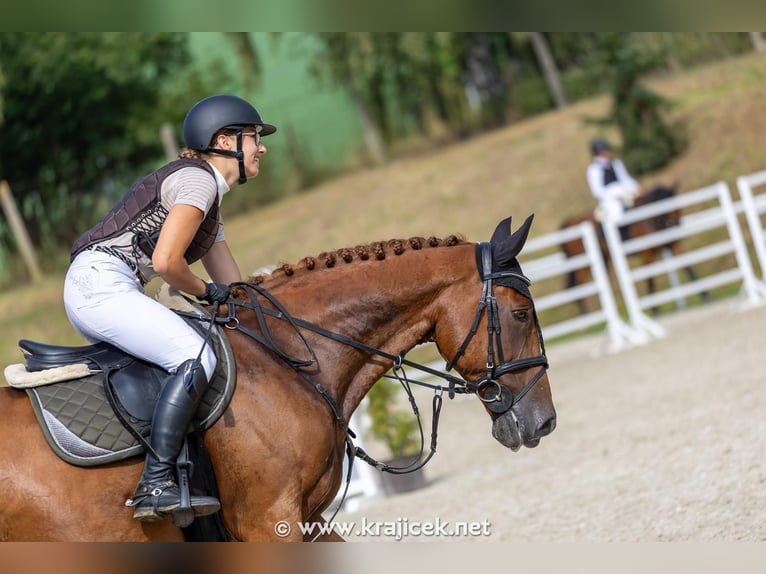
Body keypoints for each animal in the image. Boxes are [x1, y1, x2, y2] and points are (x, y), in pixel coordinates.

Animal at [559, 184, 705, 315]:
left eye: (675, 202)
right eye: (662, 203)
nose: (674, 225)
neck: (651, 220)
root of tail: (569, 223)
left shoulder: (672, 245)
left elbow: (688, 266)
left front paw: (705, 295)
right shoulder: (646, 254)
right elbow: (650, 278)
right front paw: (654, 309)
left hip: (602, 258)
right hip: (583, 263)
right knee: (578, 286)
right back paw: (588, 316)